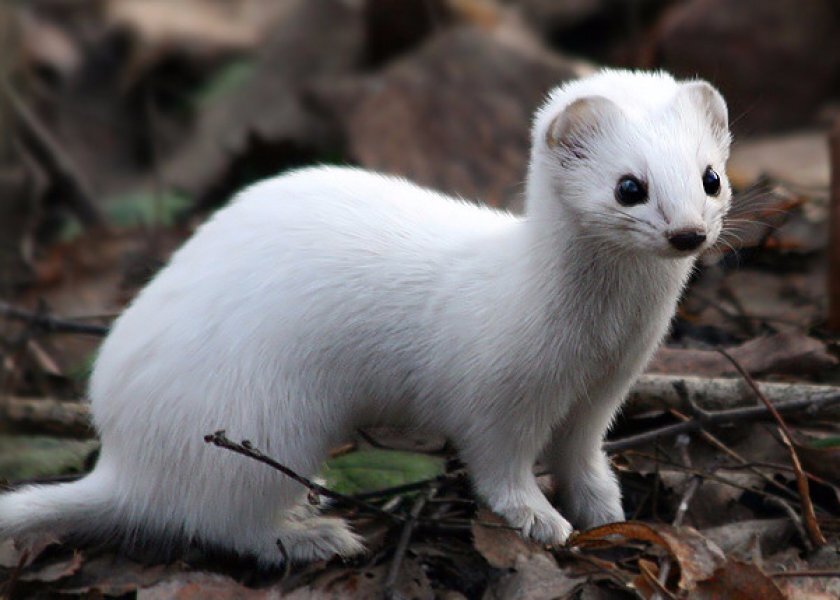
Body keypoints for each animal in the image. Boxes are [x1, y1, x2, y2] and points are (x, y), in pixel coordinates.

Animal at [0, 70, 728, 568]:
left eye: (711, 177)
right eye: (629, 186)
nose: (689, 233)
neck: (599, 343)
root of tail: (125, 459)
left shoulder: (605, 390)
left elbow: (582, 454)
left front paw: (606, 507)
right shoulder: (496, 394)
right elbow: (499, 468)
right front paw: (539, 521)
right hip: (263, 421)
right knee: (224, 520)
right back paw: (313, 535)